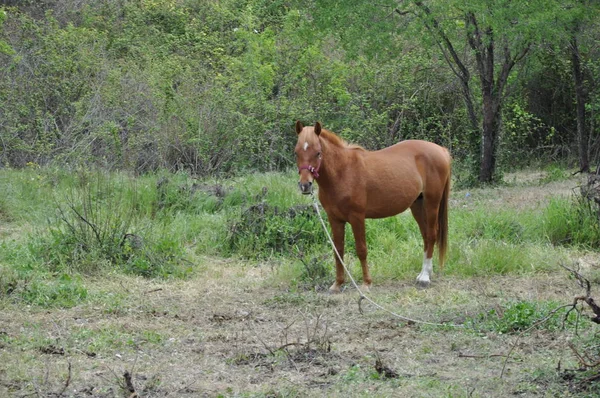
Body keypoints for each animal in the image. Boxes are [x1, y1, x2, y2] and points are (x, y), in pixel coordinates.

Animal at [296, 121, 450, 292]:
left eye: (318, 153)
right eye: (296, 153)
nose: (305, 185)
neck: (343, 172)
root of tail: (441, 150)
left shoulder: (357, 217)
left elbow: (361, 249)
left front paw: (366, 283)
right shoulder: (334, 219)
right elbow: (338, 250)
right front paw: (338, 284)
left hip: (432, 203)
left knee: (431, 235)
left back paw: (425, 278)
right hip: (417, 204)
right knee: (426, 236)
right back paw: (425, 272)